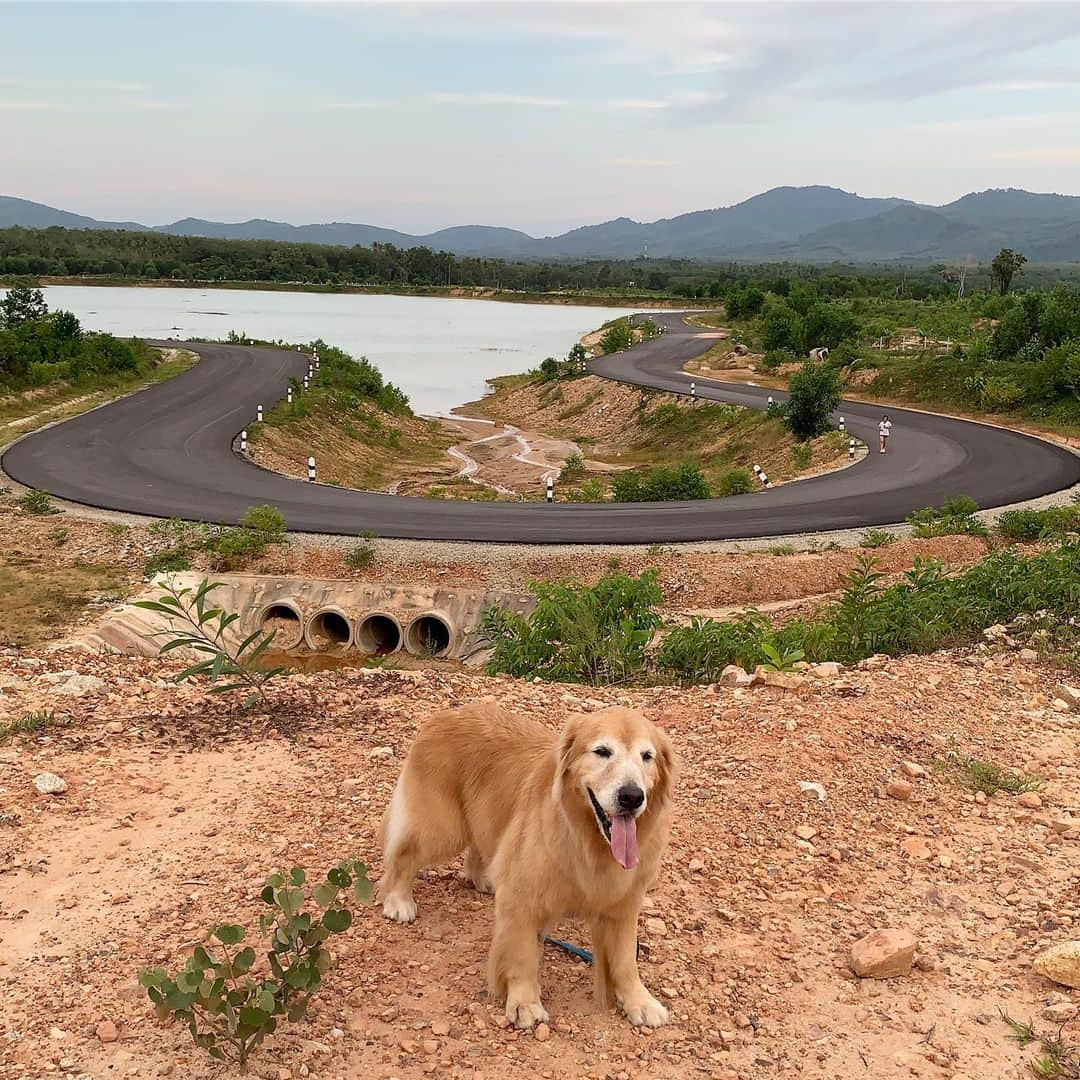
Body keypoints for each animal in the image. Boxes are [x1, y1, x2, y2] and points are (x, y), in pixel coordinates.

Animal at [375, 699, 669, 1028]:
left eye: (647, 756)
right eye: (602, 751)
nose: (632, 796)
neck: (587, 840)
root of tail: (445, 714)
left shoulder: (622, 904)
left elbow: (625, 959)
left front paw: (639, 1000)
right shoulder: (523, 899)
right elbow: (523, 956)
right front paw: (524, 1003)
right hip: (441, 828)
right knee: (403, 856)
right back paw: (398, 900)